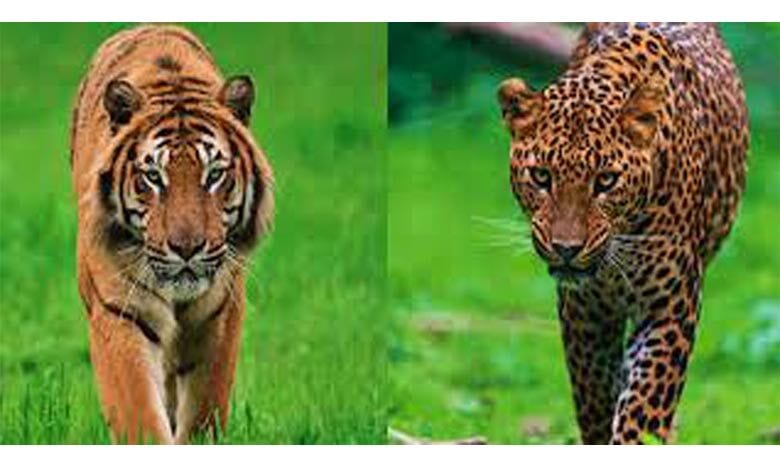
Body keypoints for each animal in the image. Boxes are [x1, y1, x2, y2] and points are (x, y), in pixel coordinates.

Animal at [70, 25, 274, 444]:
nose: (186, 248)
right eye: (153, 176)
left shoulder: (220, 312)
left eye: (214, 175)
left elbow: (204, 412)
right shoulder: (119, 310)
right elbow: (140, 418)